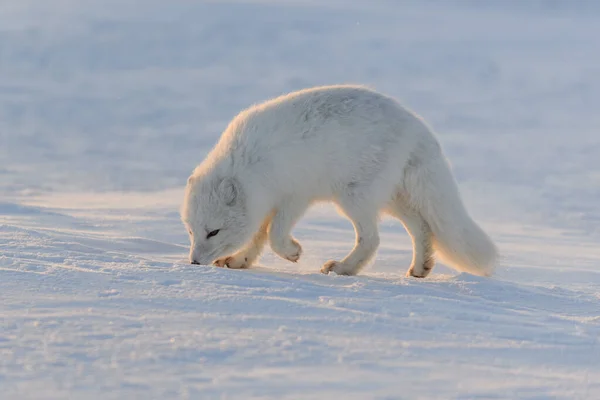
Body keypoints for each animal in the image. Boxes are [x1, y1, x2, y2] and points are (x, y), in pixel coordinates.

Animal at [180, 84, 500, 278]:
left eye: (214, 232)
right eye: (191, 231)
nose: (194, 262)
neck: (250, 163)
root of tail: (418, 126)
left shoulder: (295, 197)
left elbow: (273, 234)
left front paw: (293, 252)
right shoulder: (266, 203)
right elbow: (258, 236)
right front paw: (239, 261)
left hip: (354, 197)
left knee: (372, 238)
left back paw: (344, 268)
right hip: (389, 199)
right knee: (421, 227)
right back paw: (420, 268)